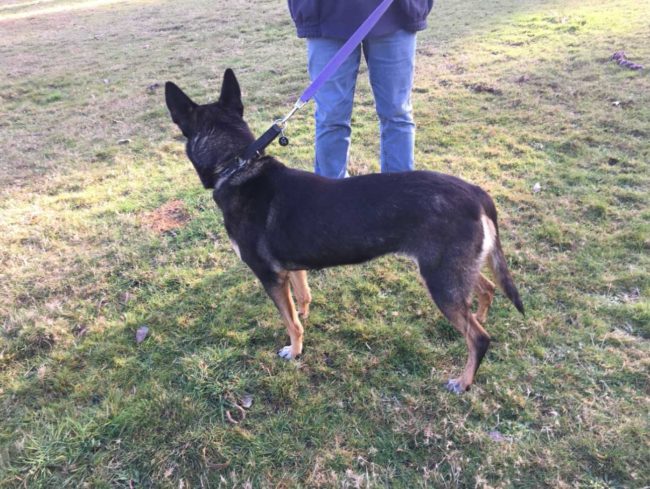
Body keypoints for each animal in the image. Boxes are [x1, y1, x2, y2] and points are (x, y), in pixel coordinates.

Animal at [163, 68, 520, 390]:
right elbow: (301, 298)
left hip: (441, 280)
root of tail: (475, 192)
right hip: (456, 271)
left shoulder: (269, 276)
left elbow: (289, 321)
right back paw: (479, 317)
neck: (238, 165)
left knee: (479, 338)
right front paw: (304, 317)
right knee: (487, 290)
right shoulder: (292, 267)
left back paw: (464, 381)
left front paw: (294, 351)